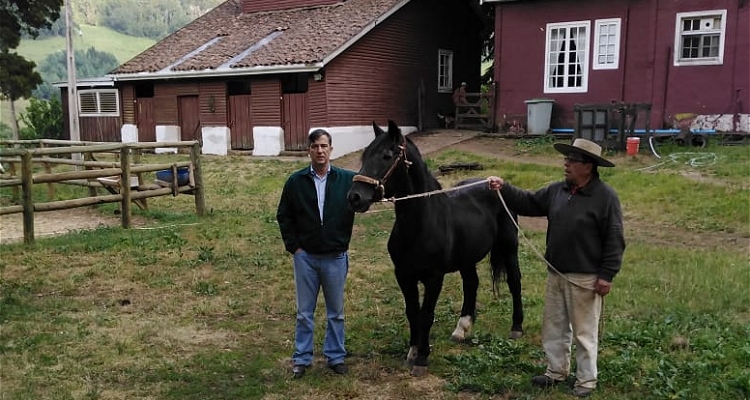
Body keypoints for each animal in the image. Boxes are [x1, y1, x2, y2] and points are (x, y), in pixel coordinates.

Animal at [346, 120, 524, 376]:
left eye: (387, 156)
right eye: (364, 155)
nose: (355, 198)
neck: (420, 224)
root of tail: (495, 184)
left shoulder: (434, 277)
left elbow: (426, 314)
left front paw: (422, 358)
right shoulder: (404, 275)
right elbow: (413, 312)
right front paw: (412, 351)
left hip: (509, 247)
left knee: (514, 282)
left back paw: (517, 326)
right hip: (467, 258)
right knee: (471, 284)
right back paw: (461, 328)